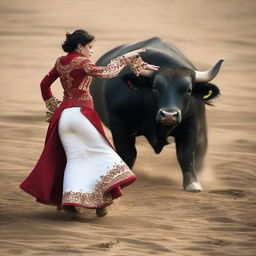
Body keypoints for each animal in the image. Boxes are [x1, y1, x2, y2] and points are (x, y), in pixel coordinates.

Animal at [90, 37, 224, 191]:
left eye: (188, 90)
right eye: (155, 87)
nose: (169, 115)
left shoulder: (191, 126)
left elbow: (186, 154)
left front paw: (193, 184)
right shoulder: (120, 126)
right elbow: (127, 153)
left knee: (201, 151)